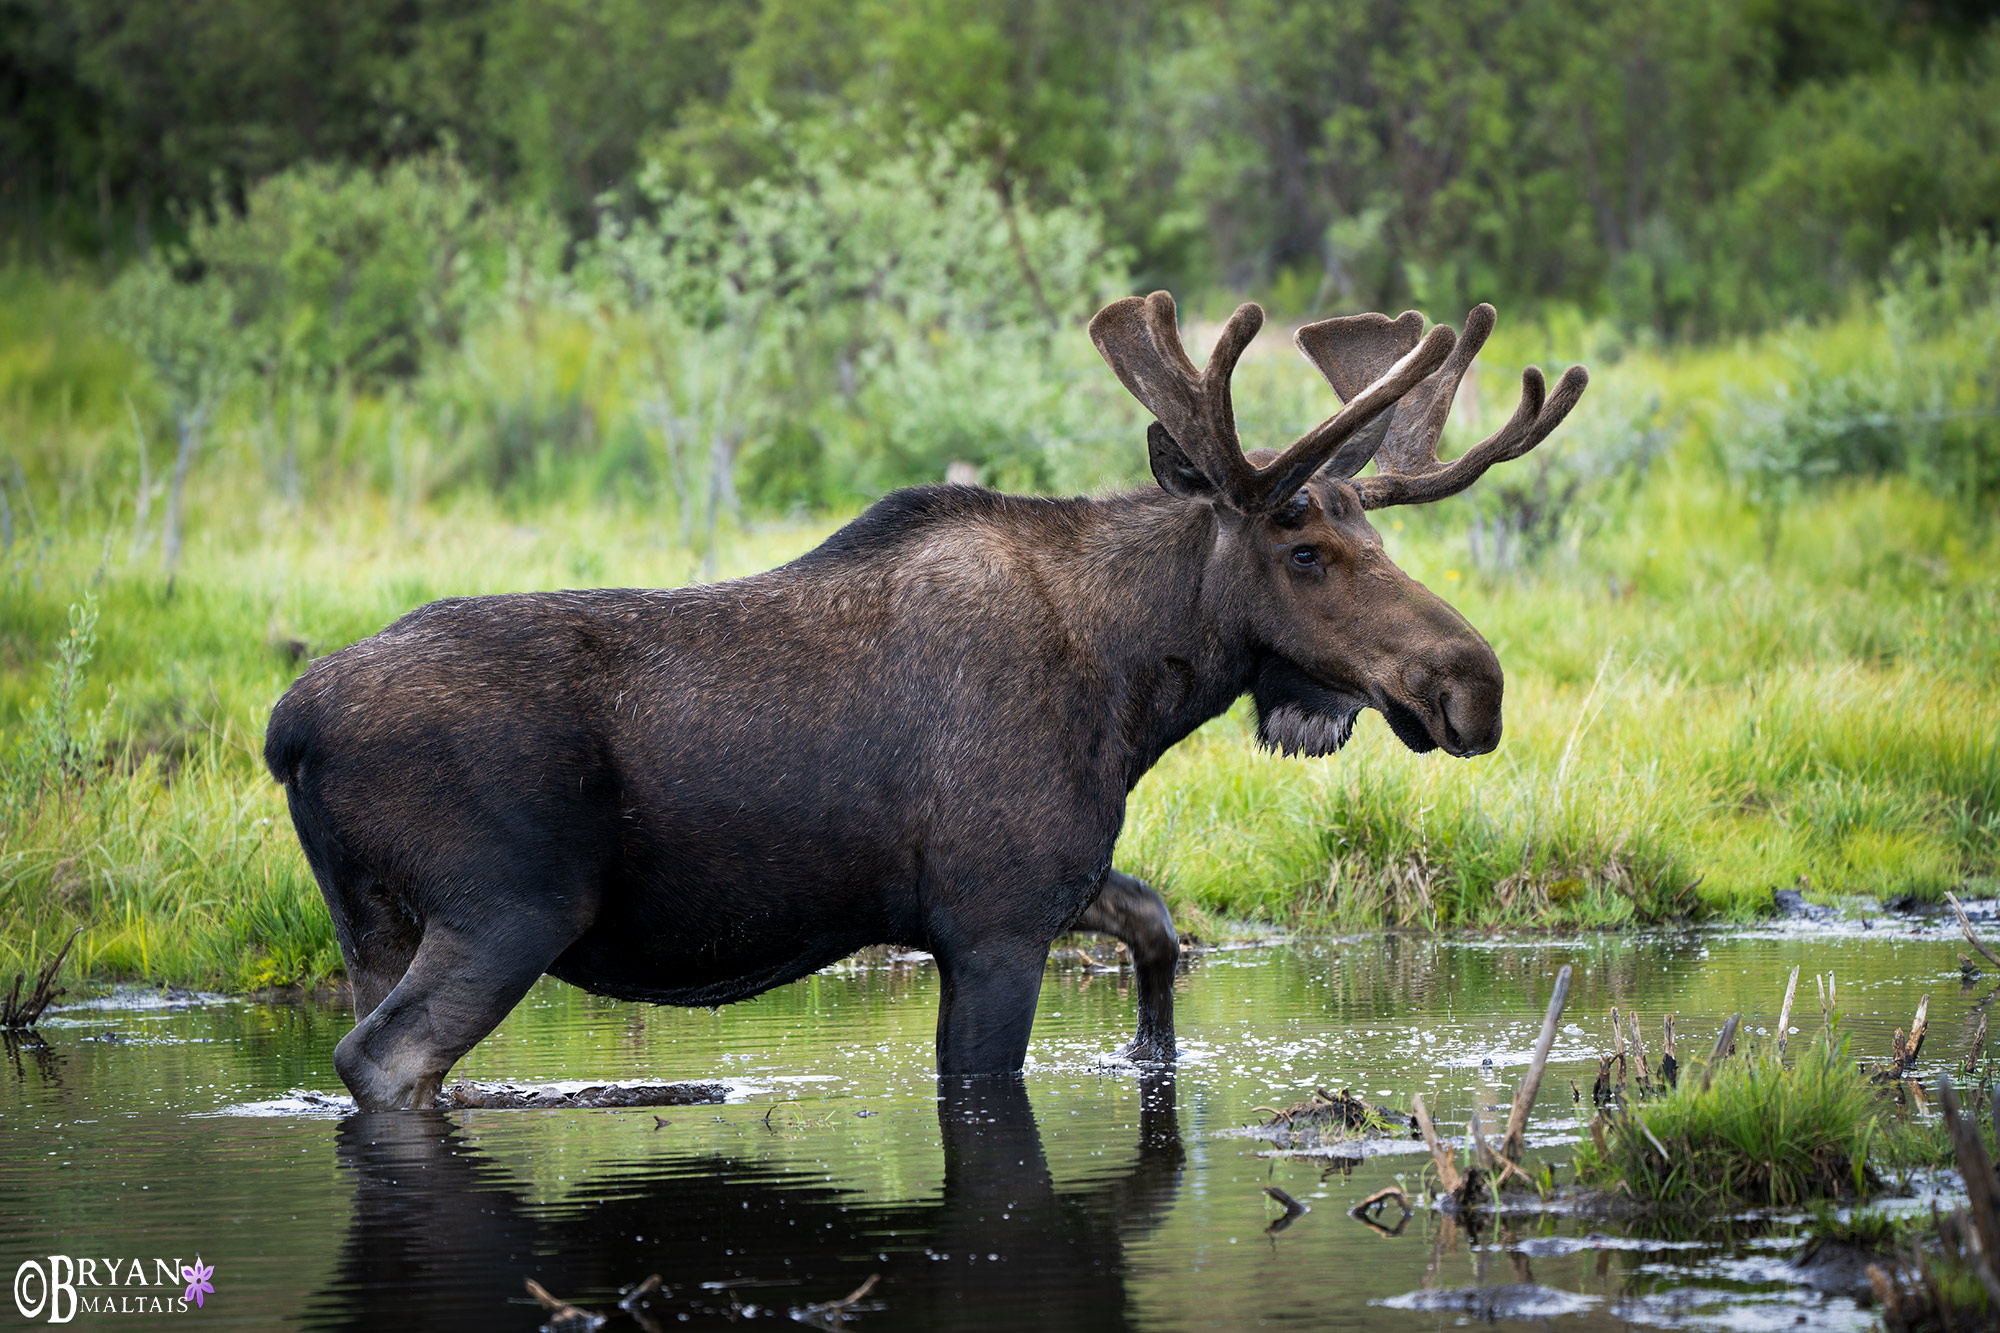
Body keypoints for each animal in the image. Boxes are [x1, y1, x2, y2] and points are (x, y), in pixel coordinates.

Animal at [266, 296, 1584, 1104]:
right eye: (1302, 549)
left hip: (373, 921)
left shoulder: (1053, 874)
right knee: (384, 1060)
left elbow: (1158, 928)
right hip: (505, 910)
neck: (1130, 692)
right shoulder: (990, 919)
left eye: (1374, 536)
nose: (1472, 686)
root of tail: (286, 731)